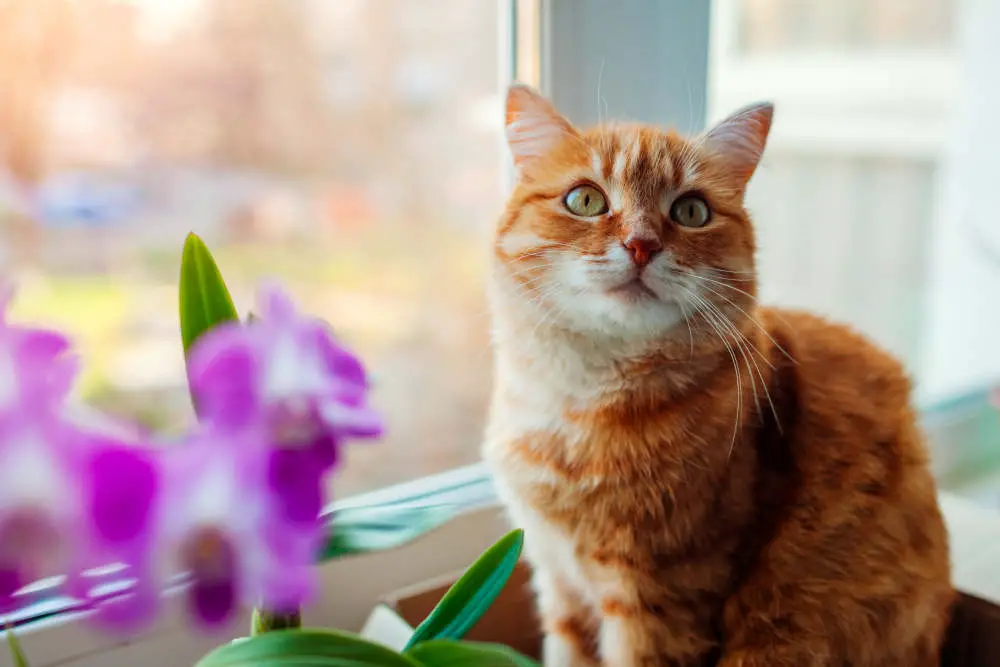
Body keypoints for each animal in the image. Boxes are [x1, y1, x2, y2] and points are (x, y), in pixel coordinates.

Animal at [484, 85, 952, 667]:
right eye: (585, 200)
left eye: (691, 211)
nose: (641, 244)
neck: (577, 405)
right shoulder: (558, 581)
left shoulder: (660, 601)